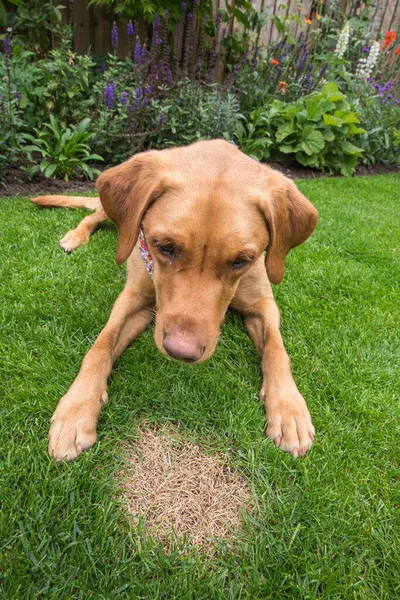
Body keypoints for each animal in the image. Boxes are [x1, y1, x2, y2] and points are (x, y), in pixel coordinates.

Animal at [31, 139, 318, 460]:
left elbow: (276, 350)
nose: (181, 352)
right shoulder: (134, 298)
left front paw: (289, 409)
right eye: (164, 246)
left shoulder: (263, 304)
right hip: (109, 211)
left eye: (241, 261)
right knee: (92, 215)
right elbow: (100, 345)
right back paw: (75, 236)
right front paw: (75, 410)